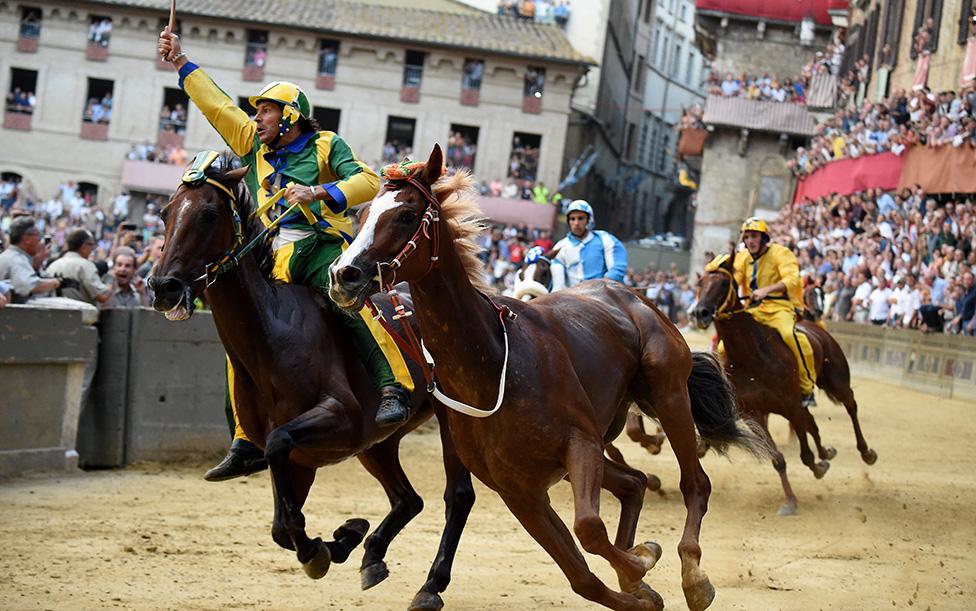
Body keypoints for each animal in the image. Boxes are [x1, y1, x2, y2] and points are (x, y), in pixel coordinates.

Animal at [146, 153, 476, 608]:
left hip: (448, 422)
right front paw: (341, 538)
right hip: (377, 444)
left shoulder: (337, 418)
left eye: (209, 214)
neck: (273, 334)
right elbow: (282, 526)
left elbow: (279, 447)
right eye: (165, 212)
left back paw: (430, 585)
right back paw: (371, 554)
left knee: (456, 497)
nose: (164, 286)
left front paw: (326, 546)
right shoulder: (301, 462)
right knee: (408, 500)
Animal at [328, 147, 764, 611]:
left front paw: (643, 560)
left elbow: (589, 528)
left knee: (694, 483)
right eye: (361, 213)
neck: (490, 365)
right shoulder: (519, 490)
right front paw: (638, 584)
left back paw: (694, 574)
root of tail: (632, 297)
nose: (343, 275)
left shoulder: (580, 443)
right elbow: (581, 575)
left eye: (406, 215)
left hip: (667, 393)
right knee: (633, 483)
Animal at [688, 253, 876, 516]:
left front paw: (812, 473)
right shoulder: (755, 413)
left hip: (837, 381)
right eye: (700, 283)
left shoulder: (791, 404)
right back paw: (826, 452)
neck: (751, 355)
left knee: (850, 406)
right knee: (814, 424)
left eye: (724, 283)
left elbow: (805, 453)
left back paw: (866, 452)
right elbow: (778, 458)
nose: (700, 313)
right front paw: (791, 498)